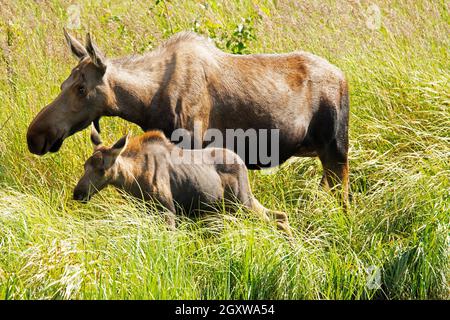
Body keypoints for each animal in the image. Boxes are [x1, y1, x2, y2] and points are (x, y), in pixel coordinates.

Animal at [27, 31, 352, 204]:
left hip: (336, 150)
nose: (36, 135)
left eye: (81, 88)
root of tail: (343, 77)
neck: (147, 102)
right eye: (63, 84)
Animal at [74, 125, 292, 235]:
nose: (78, 193)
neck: (132, 180)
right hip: (238, 204)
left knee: (274, 219)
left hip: (241, 202)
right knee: (281, 216)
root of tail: (243, 164)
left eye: (102, 169)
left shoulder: (167, 211)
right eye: (85, 166)